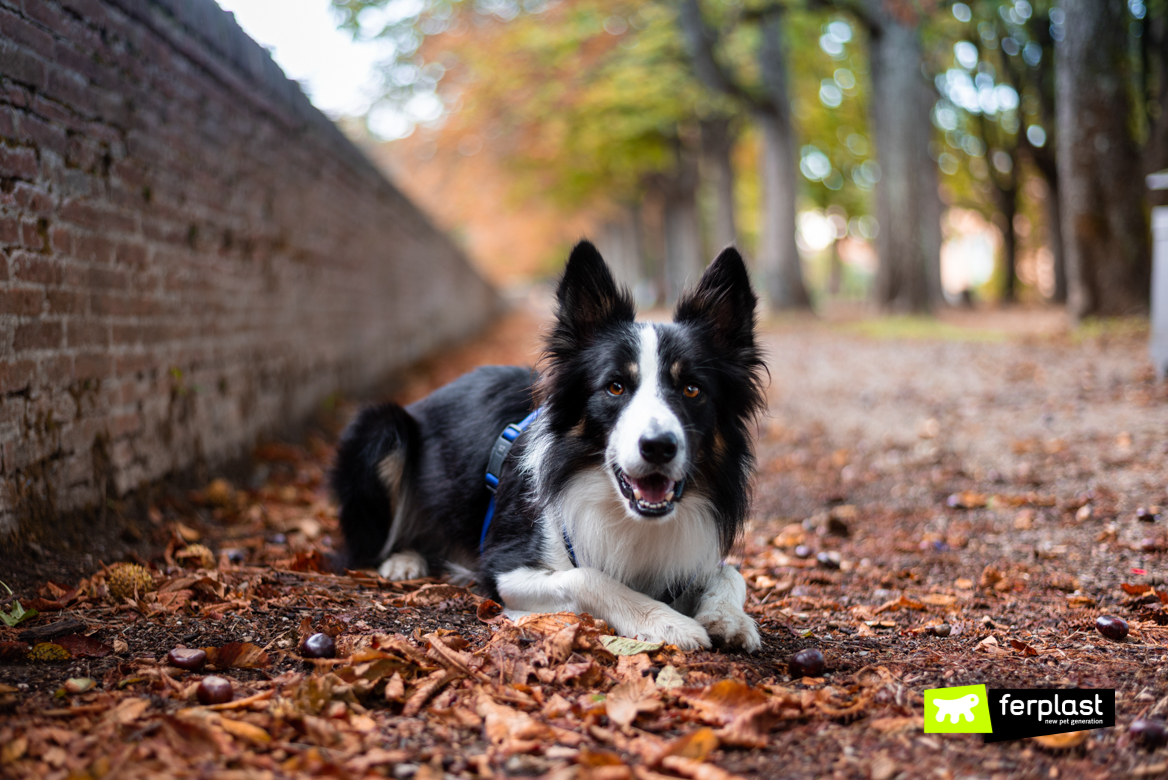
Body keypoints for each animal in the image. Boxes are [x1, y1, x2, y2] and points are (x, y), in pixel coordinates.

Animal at [331, 239, 766, 653]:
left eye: (692, 389)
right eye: (615, 386)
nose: (658, 447)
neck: (625, 513)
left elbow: (731, 572)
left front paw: (729, 619)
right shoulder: (503, 567)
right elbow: (586, 576)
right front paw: (666, 621)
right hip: (383, 428)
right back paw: (402, 559)